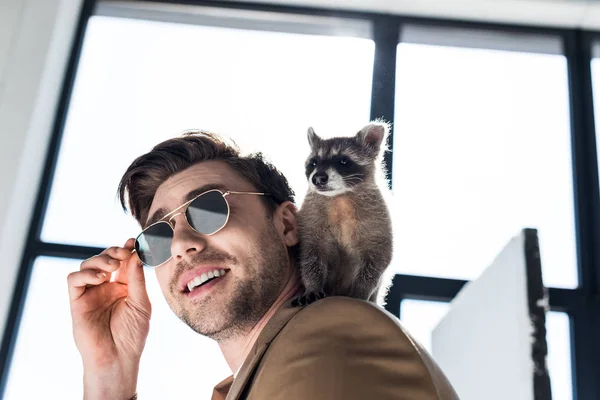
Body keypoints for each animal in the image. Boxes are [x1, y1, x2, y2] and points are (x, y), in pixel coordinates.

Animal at [294, 121, 396, 306]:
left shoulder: (379, 219)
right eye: (314, 163)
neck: (340, 198)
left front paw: (361, 292)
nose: (318, 178)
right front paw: (312, 286)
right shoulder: (311, 218)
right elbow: (310, 256)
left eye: (343, 161)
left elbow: (377, 259)